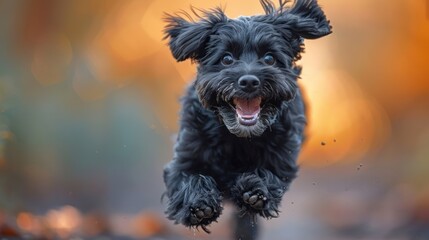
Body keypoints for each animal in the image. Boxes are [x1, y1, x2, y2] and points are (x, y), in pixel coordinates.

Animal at [162, 0, 330, 238]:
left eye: (269, 58)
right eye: (226, 58)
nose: (249, 81)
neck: (238, 138)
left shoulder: (281, 158)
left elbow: (268, 174)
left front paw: (254, 191)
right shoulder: (185, 157)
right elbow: (188, 177)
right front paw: (199, 205)